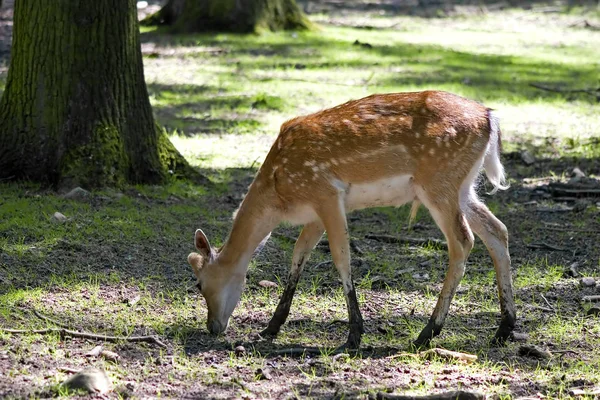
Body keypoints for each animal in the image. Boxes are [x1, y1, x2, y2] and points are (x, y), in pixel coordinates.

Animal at [188, 90, 516, 350]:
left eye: (200, 284)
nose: (212, 326)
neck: (279, 195)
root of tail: (491, 119)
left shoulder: (326, 193)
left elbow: (341, 257)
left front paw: (354, 335)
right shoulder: (315, 212)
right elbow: (298, 254)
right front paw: (270, 328)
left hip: (439, 182)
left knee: (463, 240)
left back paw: (427, 333)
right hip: (463, 187)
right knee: (497, 230)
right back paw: (504, 329)